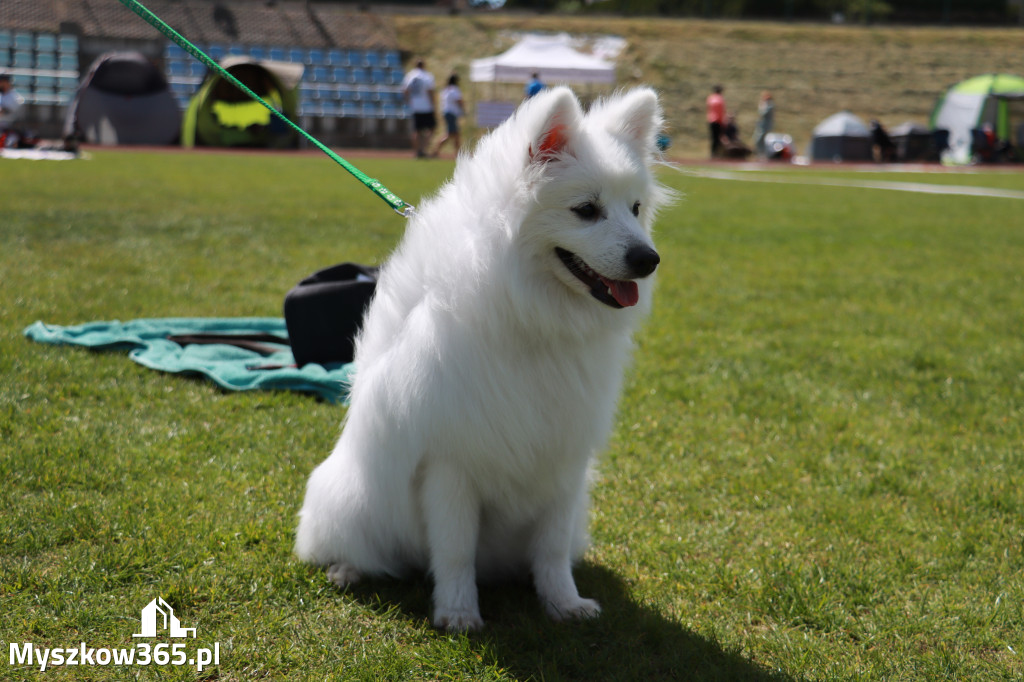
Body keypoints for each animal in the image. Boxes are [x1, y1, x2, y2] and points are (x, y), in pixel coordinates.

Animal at [294, 86, 671, 630]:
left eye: (635, 208)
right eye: (586, 210)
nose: (649, 260)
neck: (532, 319)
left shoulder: (564, 461)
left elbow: (552, 549)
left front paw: (564, 604)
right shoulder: (450, 464)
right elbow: (454, 550)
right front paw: (458, 614)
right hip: (348, 499)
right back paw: (348, 570)